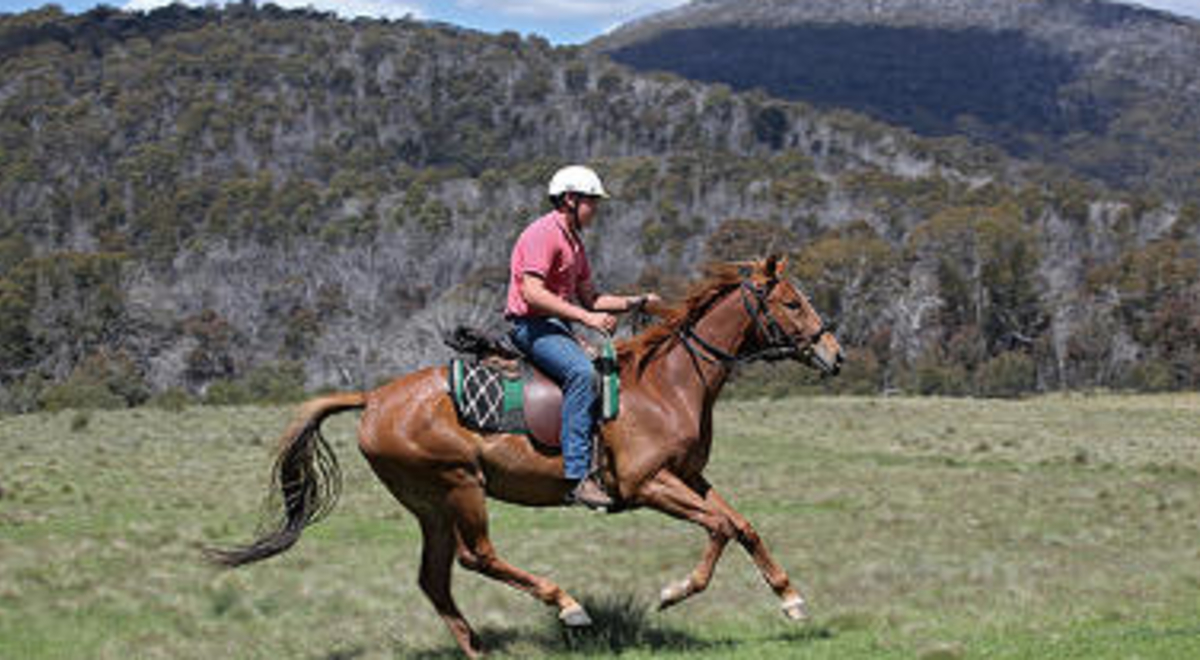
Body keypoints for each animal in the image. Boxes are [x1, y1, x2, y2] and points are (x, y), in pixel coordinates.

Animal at [209, 255, 843, 658]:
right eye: (792, 302)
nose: (834, 354)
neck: (667, 382)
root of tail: (374, 399)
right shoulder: (648, 485)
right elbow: (718, 528)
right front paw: (675, 592)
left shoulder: (689, 476)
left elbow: (742, 525)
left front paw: (791, 599)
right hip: (460, 486)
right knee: (477, 557)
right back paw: (566, 604)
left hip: (430, 505)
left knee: (434, 579)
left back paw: (479, 650)